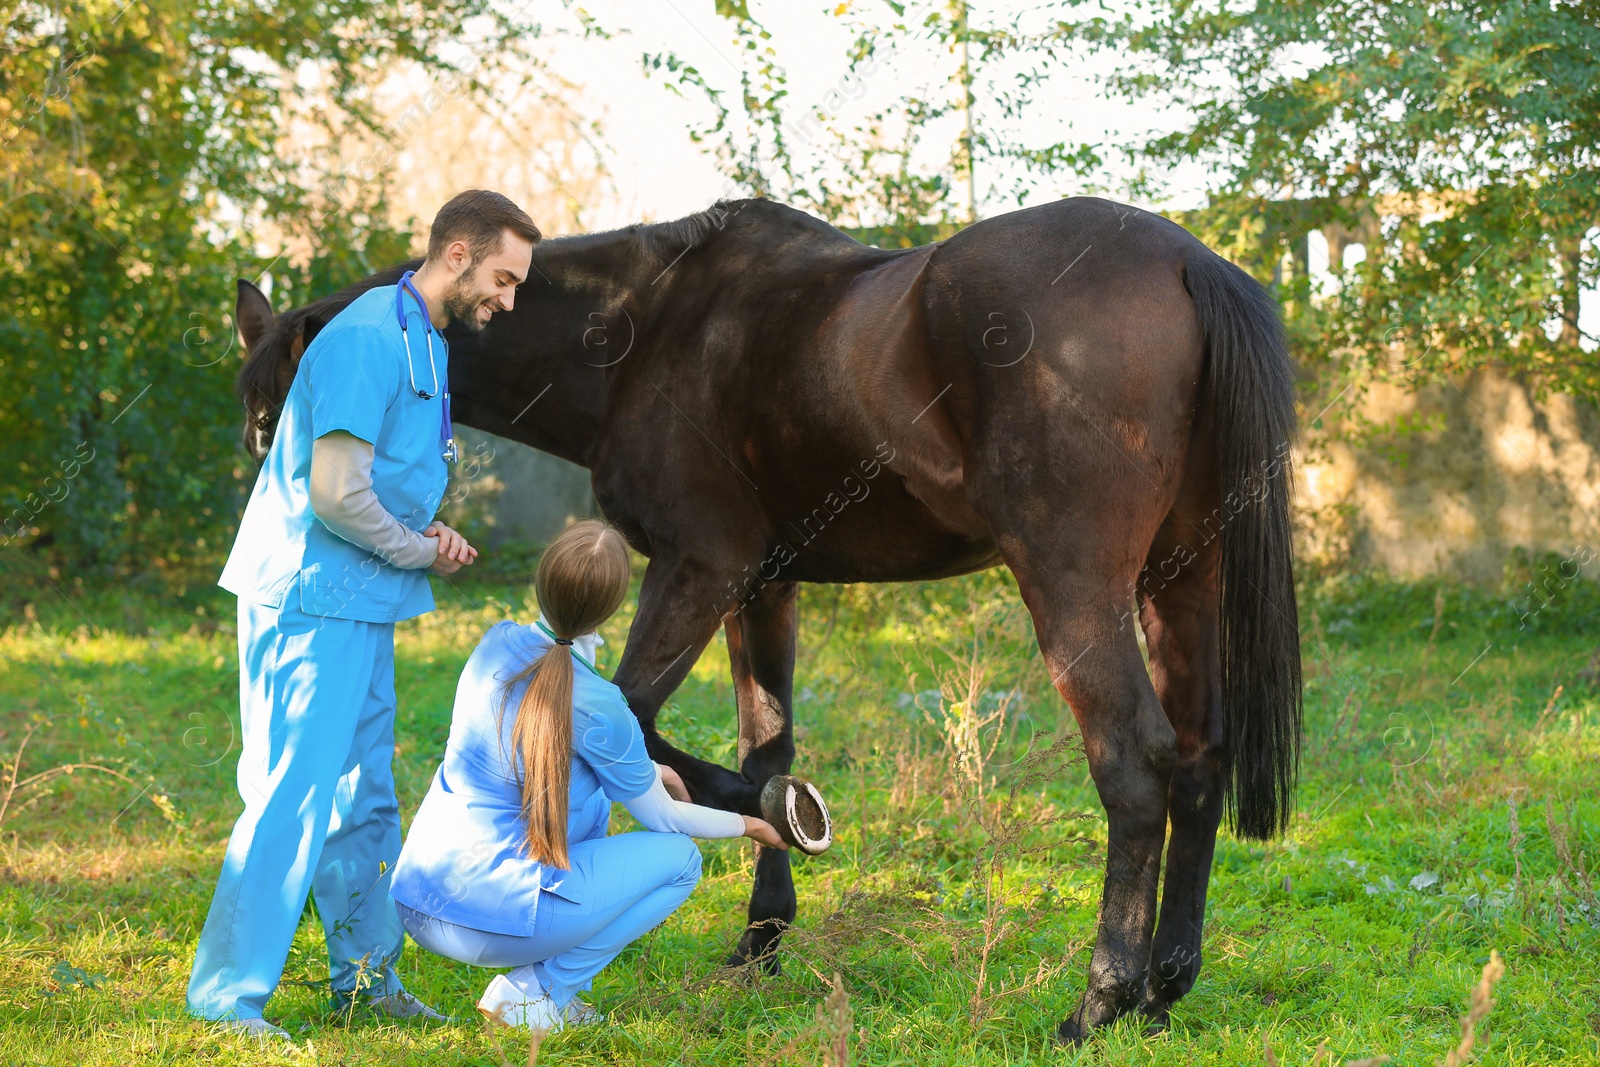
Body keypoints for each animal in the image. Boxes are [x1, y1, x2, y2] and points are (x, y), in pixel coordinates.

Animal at [233, 194, 1299, 1043]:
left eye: (288, 409)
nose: (275, 554)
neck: (643, 328)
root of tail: (1184, 260)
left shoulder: (698, 570)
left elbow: (634, 713)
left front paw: (771, 829)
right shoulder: (764, 585)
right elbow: (764, 741)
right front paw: (763, 930)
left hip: (1072, 584)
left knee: (1135, 767)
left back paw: (1098, 1001)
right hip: (1178, 581)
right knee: (1198, 761)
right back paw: (1163, 991)